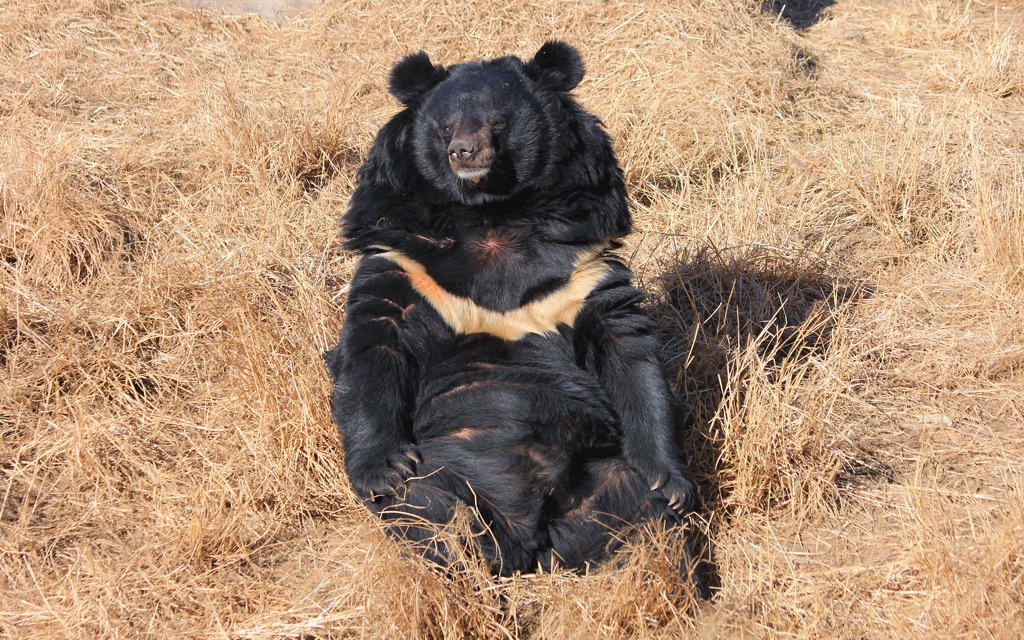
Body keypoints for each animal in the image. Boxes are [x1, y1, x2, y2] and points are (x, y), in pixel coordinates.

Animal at [324, 41, 698, 577]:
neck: (491, 212)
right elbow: (374, 345)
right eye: (445, 127)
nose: (464, 152)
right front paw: (382, 471)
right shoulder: (402, 256)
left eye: (497, 122)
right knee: (430, 512)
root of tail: (531, 541)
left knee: (643, 522)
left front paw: (670, 481)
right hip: (446, 472)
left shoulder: (582, 265)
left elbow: (629, 353)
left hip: (600, 473)